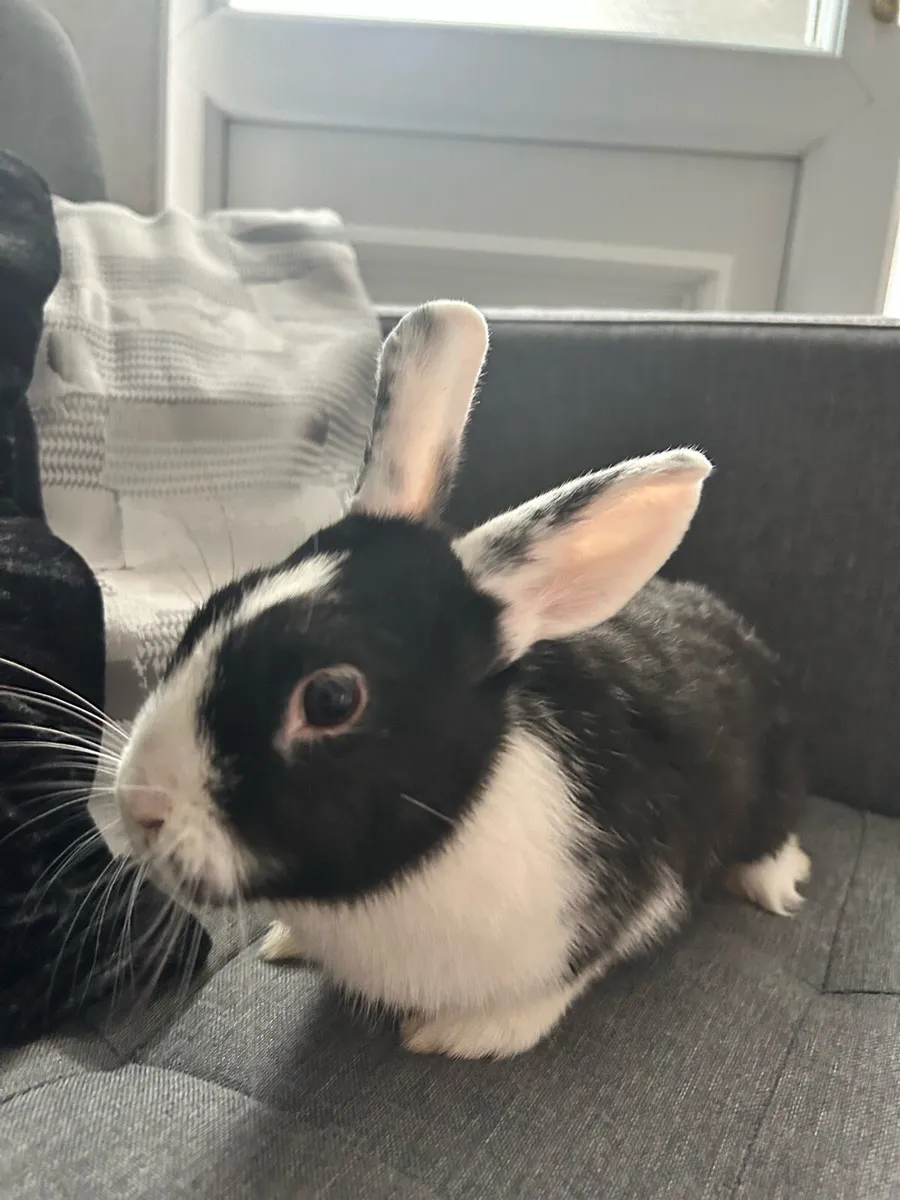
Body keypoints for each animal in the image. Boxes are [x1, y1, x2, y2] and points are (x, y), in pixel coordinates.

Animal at [114, 300, 810, 1060]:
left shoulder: (629, 898)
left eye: (330, 699)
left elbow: (560, 983)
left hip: (771, 786)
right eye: (211, 609)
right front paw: (284, 943)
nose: (137, 805)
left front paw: (459, 1035)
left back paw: (776, 884)